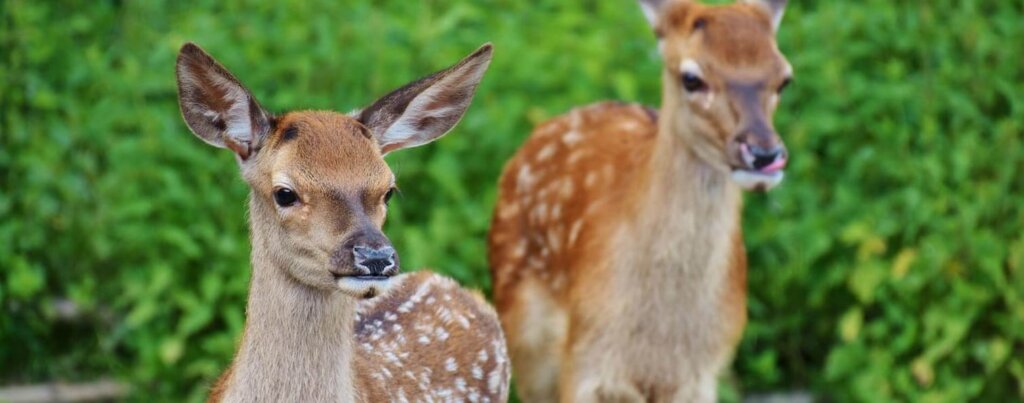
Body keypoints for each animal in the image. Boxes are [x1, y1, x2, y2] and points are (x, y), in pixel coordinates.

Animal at [485, 1, 790, 400]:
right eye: (691, 78)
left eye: (784, 78)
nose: (764, 154)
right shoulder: (584, 361)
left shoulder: (703, 373)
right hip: (524, 335)